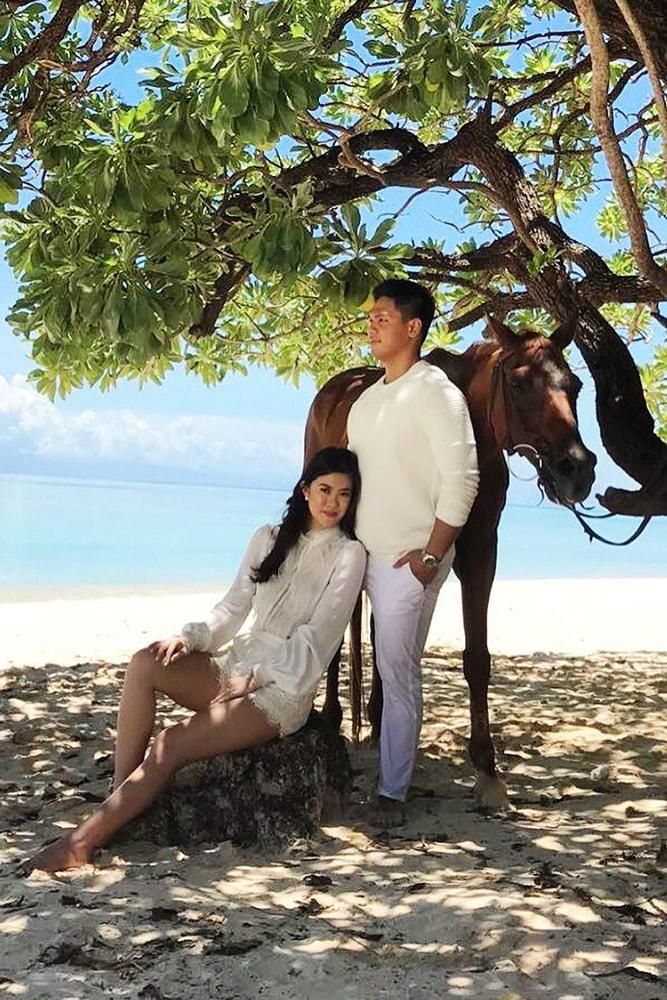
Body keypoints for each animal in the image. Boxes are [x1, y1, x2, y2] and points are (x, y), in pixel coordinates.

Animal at [306, 316, 596, 808]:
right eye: (519, 383)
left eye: (573, 385)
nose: (576, 469)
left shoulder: (479, 553)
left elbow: (475, 658)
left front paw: (487, 770)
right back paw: (331, 715)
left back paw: (378, 717)